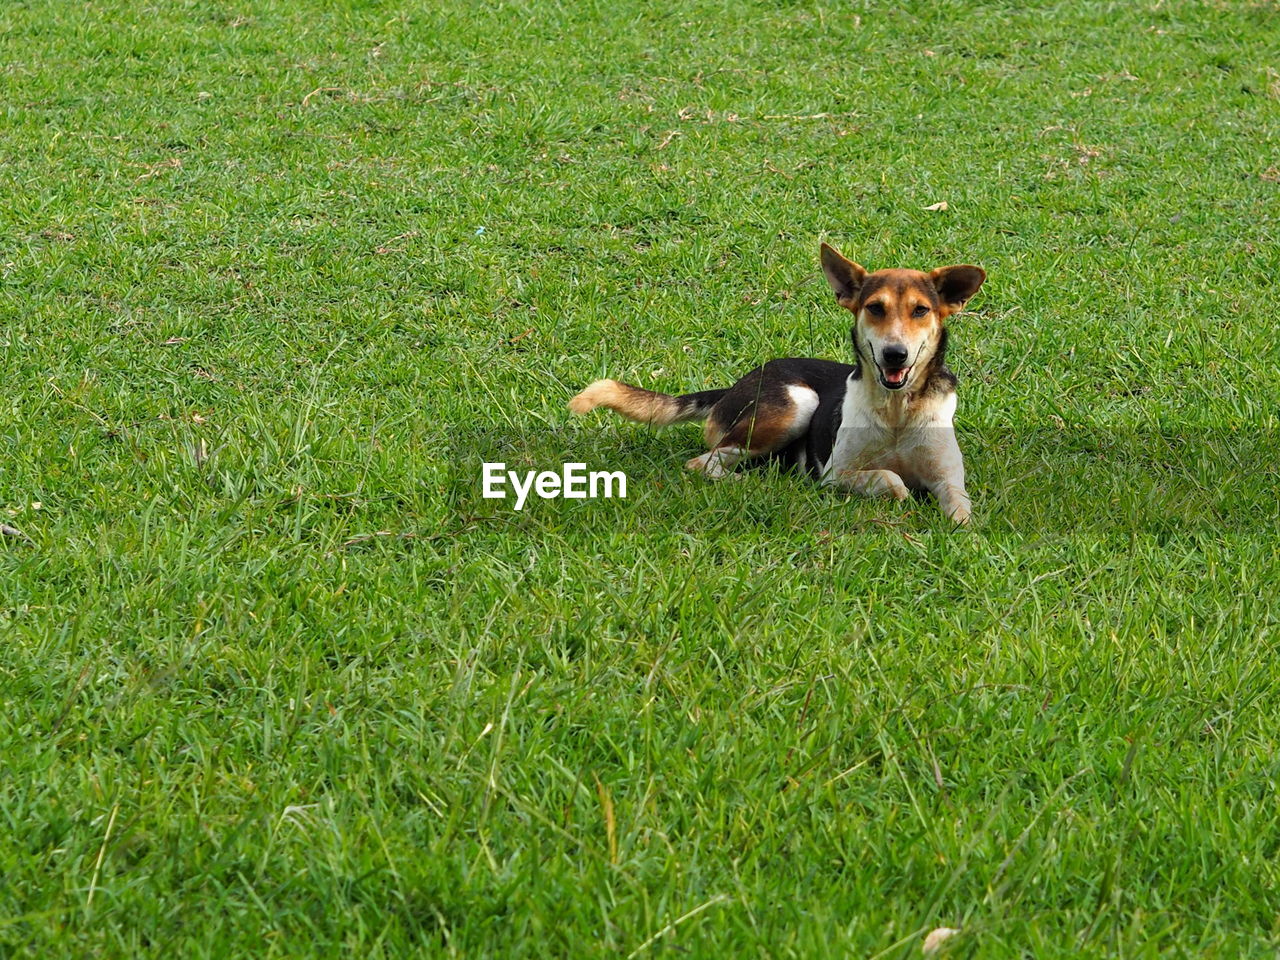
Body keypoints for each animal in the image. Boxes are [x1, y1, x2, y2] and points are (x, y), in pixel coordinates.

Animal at [565, 244, 983, 522]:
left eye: (921, 310)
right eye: (875, 308)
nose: (894, 354)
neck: (897, 410)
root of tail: (736, 385)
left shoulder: (950, 481)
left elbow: (961, 510)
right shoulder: (835, 473)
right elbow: (890, 478)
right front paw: (901, 494)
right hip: (796, 404)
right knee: (703, 463)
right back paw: (749, 484)